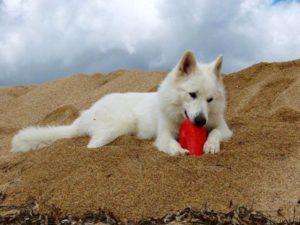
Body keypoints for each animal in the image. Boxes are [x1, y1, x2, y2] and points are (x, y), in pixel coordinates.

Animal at [11, 50, 232, 156]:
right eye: (192, 94)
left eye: (210, 100)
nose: (200, 121)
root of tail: (82, 119)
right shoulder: (163, 134)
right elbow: (170, 142)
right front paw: (177, 150)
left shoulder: (224, 128)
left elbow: (215, 132)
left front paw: (211, 144)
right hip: (120, 125)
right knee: (91, 145)